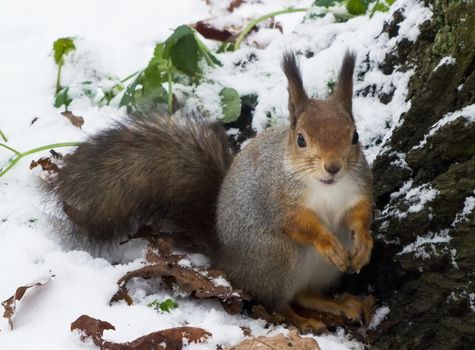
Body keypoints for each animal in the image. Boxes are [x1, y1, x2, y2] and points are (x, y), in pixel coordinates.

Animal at [52, 50, 374, 332]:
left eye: (355, 136)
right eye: (301, 140)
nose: (333, 167)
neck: (327, 188)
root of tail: (227, 260)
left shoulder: (358, 187)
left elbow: (361, 212)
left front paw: (364, 243)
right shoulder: (277, 197)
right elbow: (298, 223)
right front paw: (327, 242)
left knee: (303, 293)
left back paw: (339, 304)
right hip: (277, 257)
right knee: (277, 300)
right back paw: (302, 320)